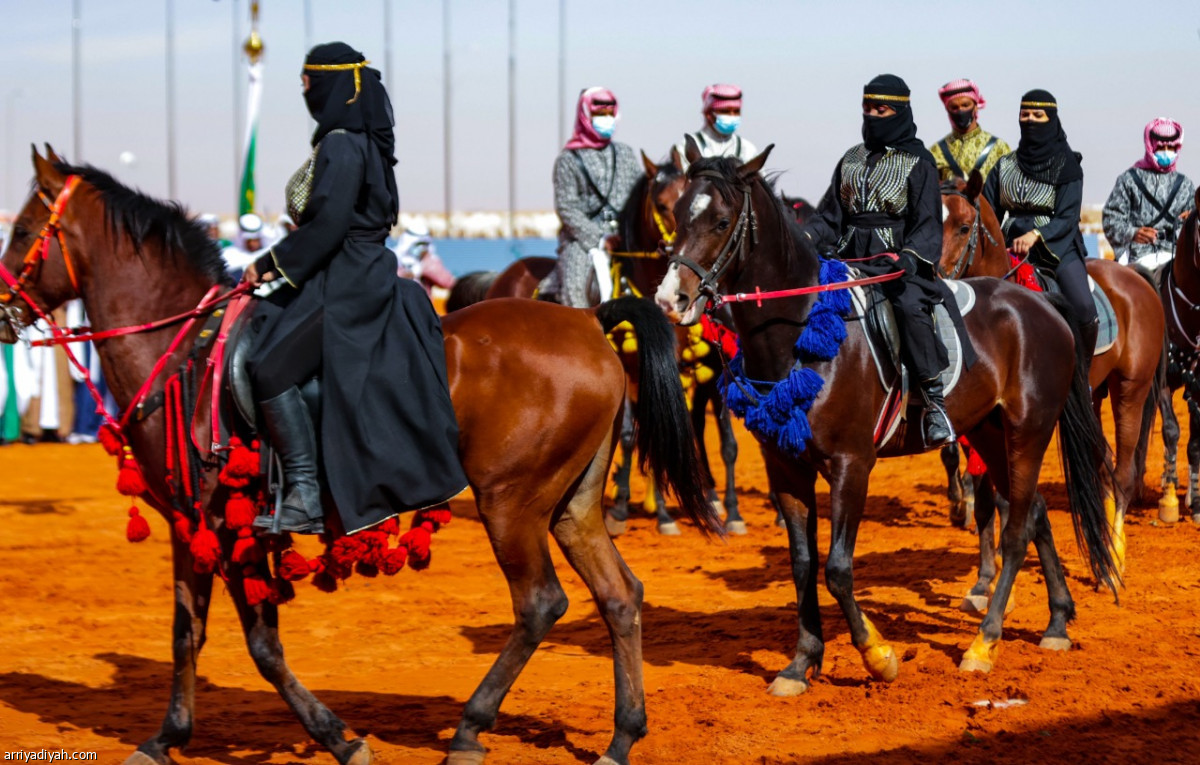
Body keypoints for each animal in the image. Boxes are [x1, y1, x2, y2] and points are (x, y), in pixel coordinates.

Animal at [2, 148, 720, 765]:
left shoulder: (231, 529)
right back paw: (622, 734)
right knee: (619, 595)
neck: (187, 350)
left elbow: (261, 645)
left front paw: (337, 736)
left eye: (24, 226)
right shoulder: (192, 525)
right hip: (570, 504)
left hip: (510, 502)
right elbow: (188, 632)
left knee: (541, 603)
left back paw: (471, 727)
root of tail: (586, 321)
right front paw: (167, 735)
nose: (3, 304)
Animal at [657, 143, 1113, 690]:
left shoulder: (851, 464)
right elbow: (802, 563)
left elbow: (836, 569)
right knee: (1037, 513)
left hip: (1029, 431)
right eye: (678, 216)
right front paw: (801, 662)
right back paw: (1058, 620)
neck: (803, 332)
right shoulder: (786, 468)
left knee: (1018, 528)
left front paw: (878, 655)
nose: (670, 299)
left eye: (721, 221)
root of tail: (1041, 304)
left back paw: (984, 643)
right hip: (988, 432)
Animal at [940, 170, 1166, 585]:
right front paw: (986, 574)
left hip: (1131, 389)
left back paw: (1114, 562)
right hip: (1093, 395)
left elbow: (1007, 495)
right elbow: (985, 495)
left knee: (1124, 473)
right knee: (1099, 465)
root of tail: (1132, 274)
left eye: (964, 227)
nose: (934, 276)